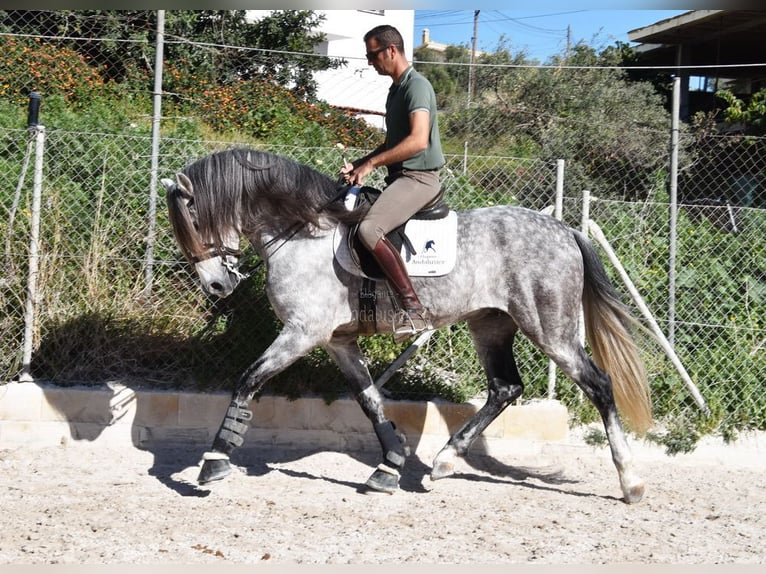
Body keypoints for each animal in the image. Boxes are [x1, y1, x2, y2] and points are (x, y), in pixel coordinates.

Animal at [162, 147, 656, 504]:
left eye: (195, 221)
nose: (217, 285)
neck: (304, 232)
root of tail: (566, 231)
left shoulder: (302, 333)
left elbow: (248, 379)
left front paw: (214, 462)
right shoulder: (337, 342)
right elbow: (369, 401)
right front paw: (389, 466)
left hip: (550, 329)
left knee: (598, 384)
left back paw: (631, 482)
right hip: (491, 324)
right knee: (504, 388)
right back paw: (444, 462)